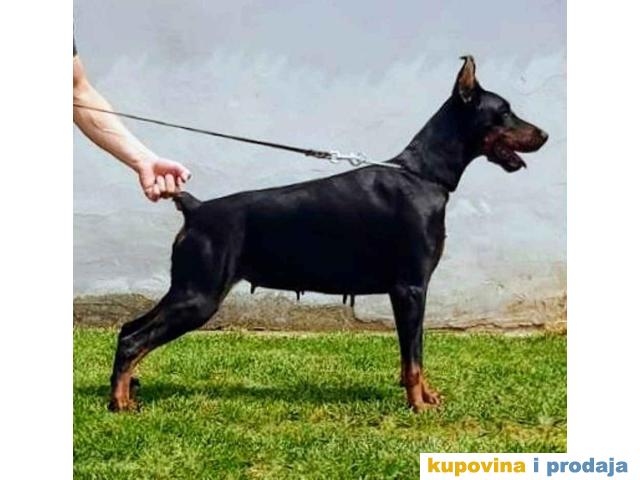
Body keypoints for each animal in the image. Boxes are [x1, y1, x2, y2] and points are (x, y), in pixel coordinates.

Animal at [108, 56, 548, 412]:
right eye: (505, 111)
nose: (544, 135)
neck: (424, 175)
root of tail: (196, 207)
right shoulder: (410, 287)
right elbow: (414, 357)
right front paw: (419, 406)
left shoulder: (412, 291)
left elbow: (414, 353)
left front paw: (425, 396)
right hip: (199, 295)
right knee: (133, 340)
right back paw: (120, 403)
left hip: (187, 289)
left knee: (129, 330)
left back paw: (127, 390)